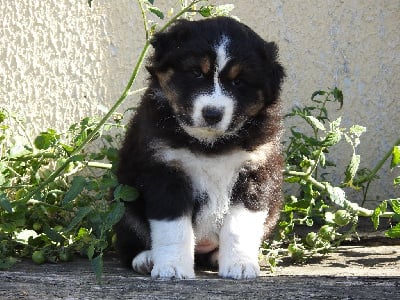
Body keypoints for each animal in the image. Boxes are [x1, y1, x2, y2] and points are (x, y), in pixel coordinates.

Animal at [114, 15, 286, 278]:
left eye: (239, 81)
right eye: (196, 73)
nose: (212, 114)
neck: (210, 144)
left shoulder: (256, 171)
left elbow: (240, 225)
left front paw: (240, 264)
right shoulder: (165, 170)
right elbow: (173, 228)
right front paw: (173, 267)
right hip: (125, 202)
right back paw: (146, 258)